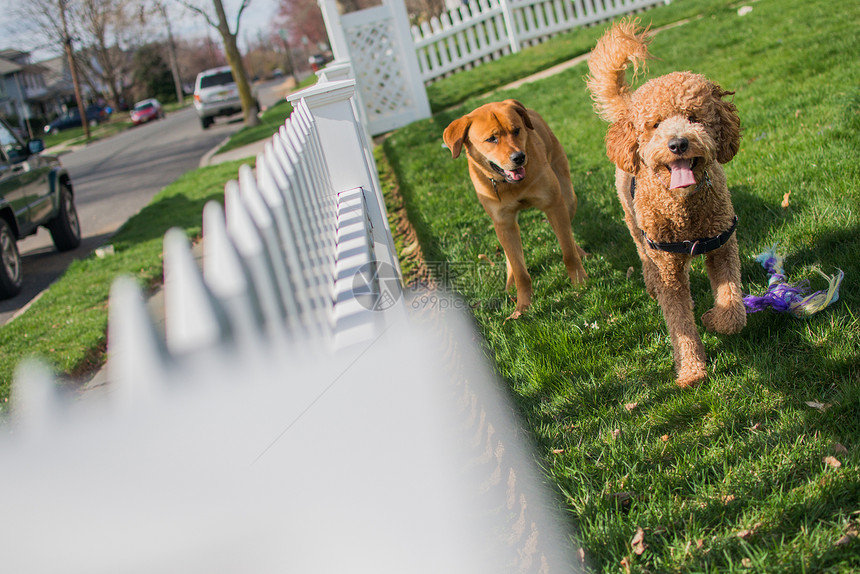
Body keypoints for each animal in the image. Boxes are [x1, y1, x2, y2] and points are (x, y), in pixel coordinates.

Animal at [444, 98, 584, 316]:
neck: (511, 185)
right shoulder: (504, 222)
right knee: (511, 255)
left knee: (567, 234)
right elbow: (520, 270)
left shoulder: (554, 205)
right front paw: (523, 307)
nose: (519, 157)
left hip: (568, 197)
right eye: (491, 139)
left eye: (517, 130)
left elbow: (567, 251)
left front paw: (579, 282)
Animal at [584, 19, 744, 388]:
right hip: (634, 224)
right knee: (642, 254)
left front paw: (714, 319)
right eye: (655, 124)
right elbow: (680, 323)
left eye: (694, 117)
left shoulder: (723, 246)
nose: (678, 143)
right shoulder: (669, 269)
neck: (685, 210)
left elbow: (733, 309)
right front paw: (692, 371)